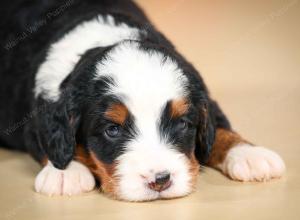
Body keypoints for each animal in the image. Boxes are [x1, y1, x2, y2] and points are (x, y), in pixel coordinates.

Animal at [0, 0, 286, 202]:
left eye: (182, 124)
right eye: (112, 130)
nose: (160, 180)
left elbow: (220, 128)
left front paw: (249, 154)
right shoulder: (34, 117)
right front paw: (66, 172)